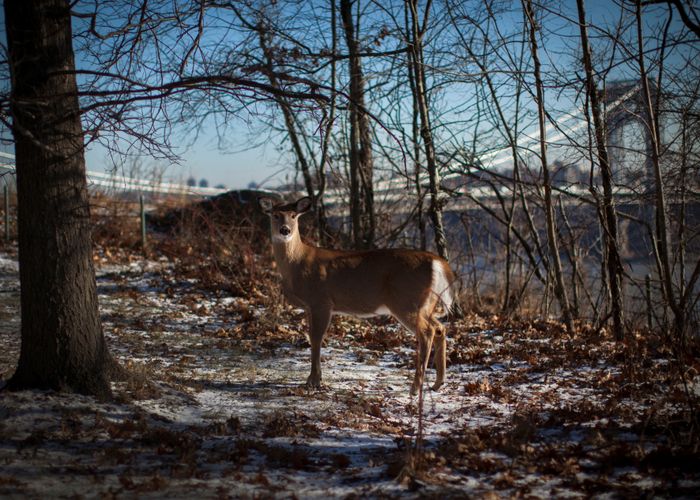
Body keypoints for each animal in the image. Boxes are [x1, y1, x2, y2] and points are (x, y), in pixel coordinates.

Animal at [258, 195, 460, 394]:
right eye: (275, 215)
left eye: (293, 215)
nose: (285, 230)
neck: (297, 263)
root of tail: (439, 263)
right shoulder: (310, 306)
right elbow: (311, 336)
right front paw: (315, 379)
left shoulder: (321, 300)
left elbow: (316, 338)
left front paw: (313, 381)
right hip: (426, 303)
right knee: (440, 328)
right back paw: (438, 383)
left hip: (406, 301)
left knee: (427, 332)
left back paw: (416, 388)